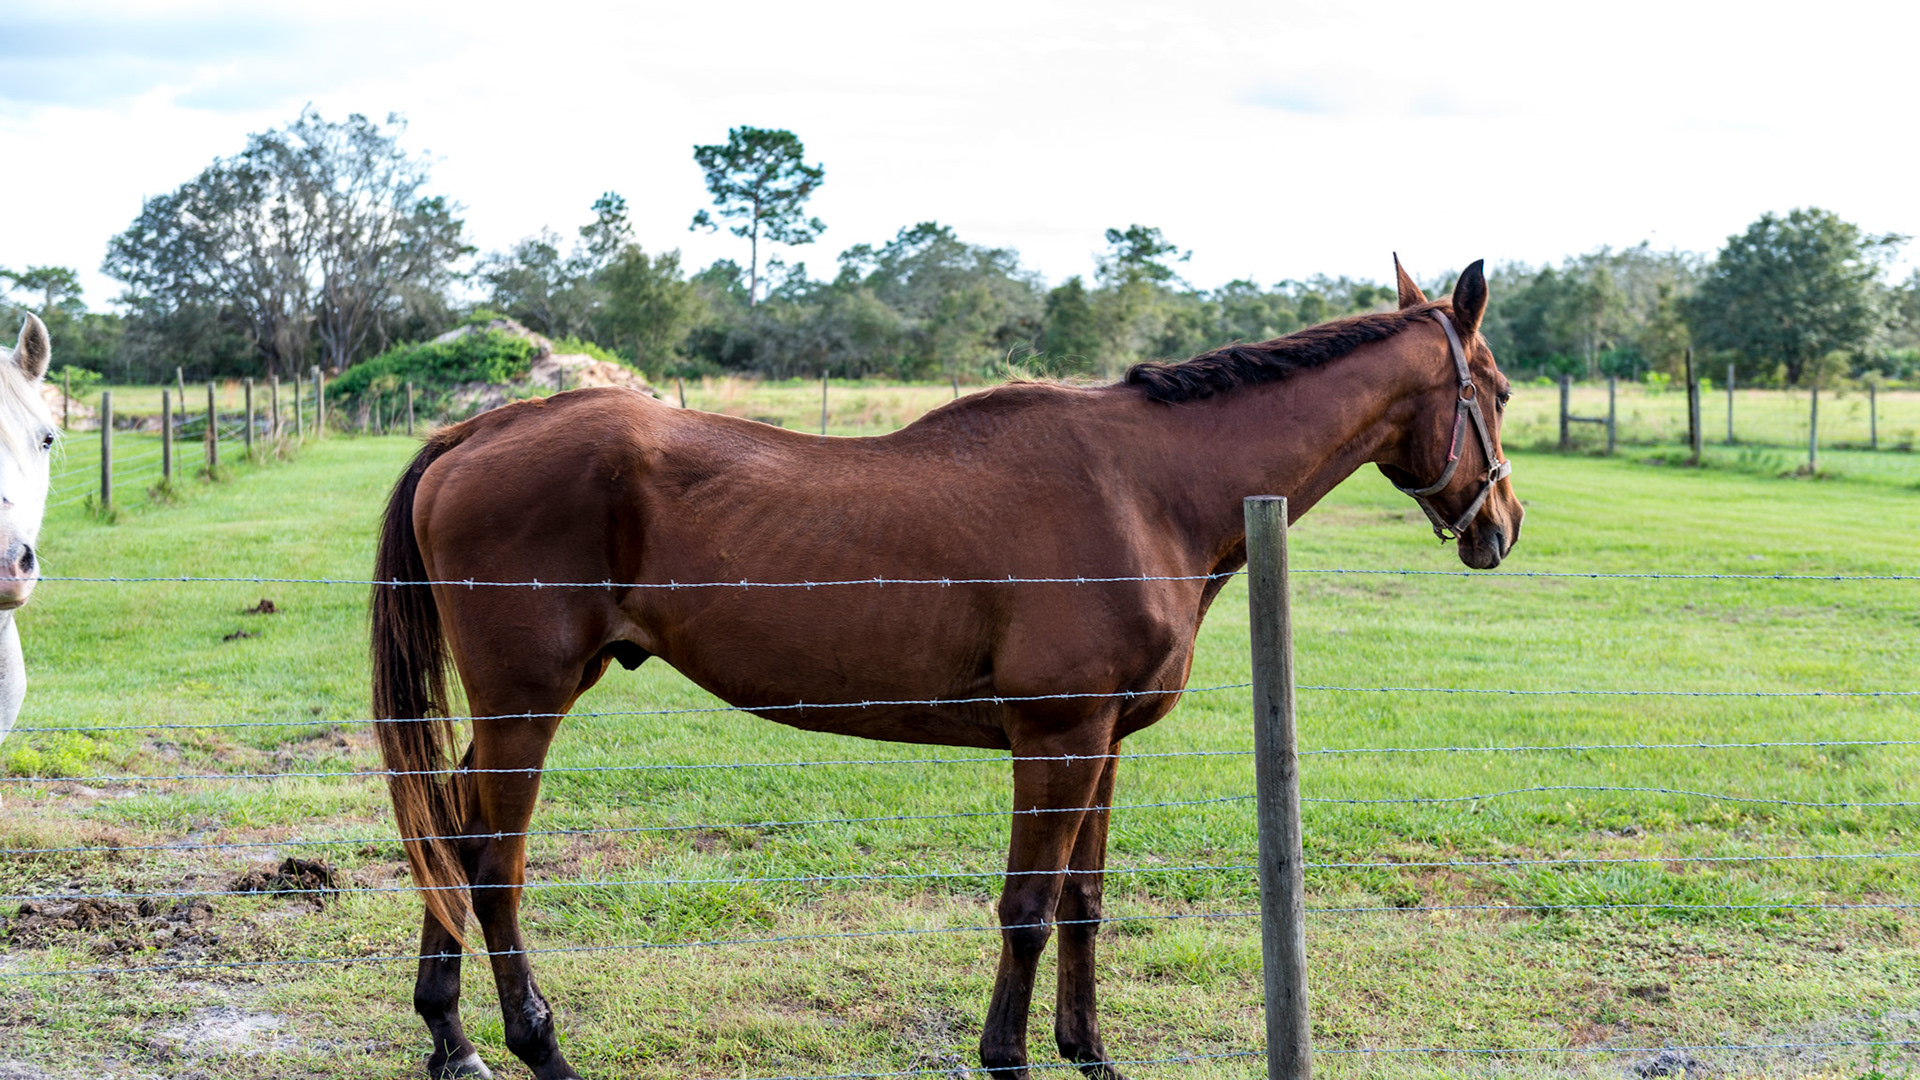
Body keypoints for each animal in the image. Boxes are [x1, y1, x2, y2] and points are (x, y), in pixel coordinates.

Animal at [371, 258, 1520, 1080]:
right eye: (1501, 392)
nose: (1500, 526)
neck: (1147, 488)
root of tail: (475, 429)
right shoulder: (1056, 739)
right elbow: (1026, 906)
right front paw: (1007, 1058)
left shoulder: (1101, 744)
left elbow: (1080, 901)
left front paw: (1088, 1052)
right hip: (527, 709)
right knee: (492, 866)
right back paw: (538, 1046)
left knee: (448, 837)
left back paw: (452, 1043)